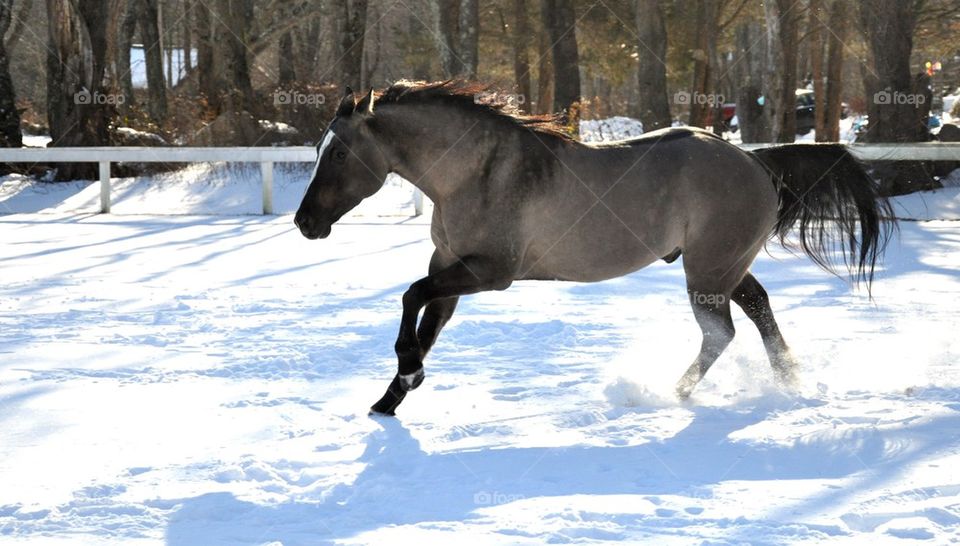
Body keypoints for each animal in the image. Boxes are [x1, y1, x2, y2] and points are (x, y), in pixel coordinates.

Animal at [294, 81, 895, 416]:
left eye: (340, 152)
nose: (305, 223)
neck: (476, 172)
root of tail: (755, 160)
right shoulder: (452, 268)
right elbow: (425, 321)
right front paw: (390, 399)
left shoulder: (490, 272)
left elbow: (409, 298)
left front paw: (408, 376)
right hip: (724, 266)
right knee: (760, 311)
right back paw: (787, 384)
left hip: (706, 273)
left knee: (721, 332)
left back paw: (672, 393)